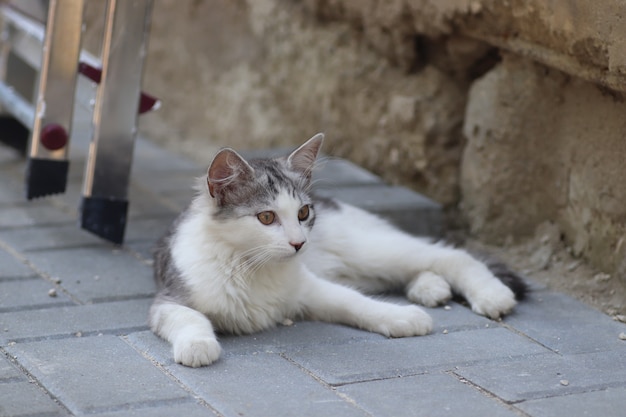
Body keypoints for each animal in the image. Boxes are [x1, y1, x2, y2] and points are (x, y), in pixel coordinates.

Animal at [149, 134, 524, 368]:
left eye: (303, 213)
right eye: (266, 217)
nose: (299, 243)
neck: (251, 267)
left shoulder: (309, 288)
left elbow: (356, 303)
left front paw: (400, 317)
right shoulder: (167, 300)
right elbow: (190, 318)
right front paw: (198, 346)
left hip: (369, 250)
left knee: (449, 254)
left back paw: (491, 294)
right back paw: (431, 288)